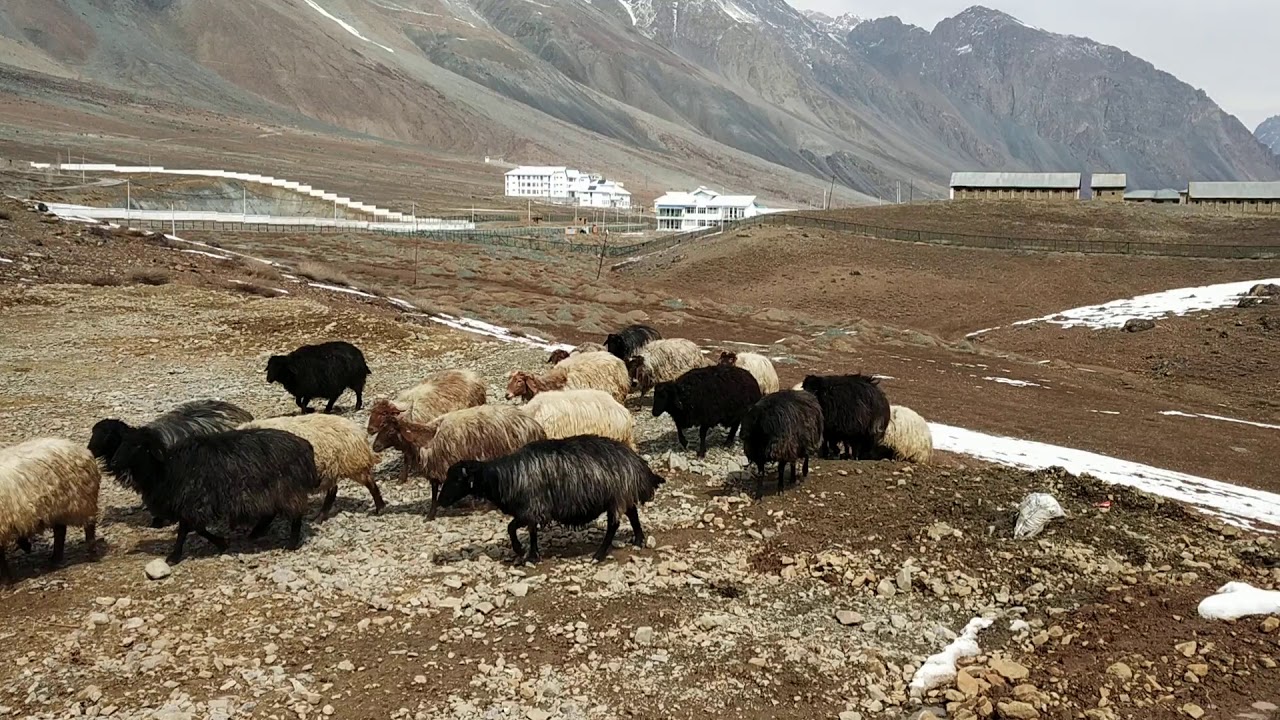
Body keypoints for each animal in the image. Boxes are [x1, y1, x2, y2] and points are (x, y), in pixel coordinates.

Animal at [1, 438, 101, 580]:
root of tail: (84, 451)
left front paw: (6, 581)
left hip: (81, 501)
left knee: (88, 526)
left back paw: (91, 553)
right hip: (58, 508)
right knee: (60, 530)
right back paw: (55, 558)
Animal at [110, 427, 320, 564]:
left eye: (138, 446)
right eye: (122, 442)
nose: (113, 463)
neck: (167, 469)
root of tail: (306, 446)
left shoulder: (194, 502)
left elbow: (190, 529)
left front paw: (175, 556)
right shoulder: (192, 504)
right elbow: (193, 529)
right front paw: (220, 543)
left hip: (286, 488)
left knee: (295, 514)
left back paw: (291, 543)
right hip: (270, 491)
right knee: (271, 512)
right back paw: (256, 532)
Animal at [240, 414, 384, 519]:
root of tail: (360, 434)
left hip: (350, 464)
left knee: (369, 484)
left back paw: (380, 508)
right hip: (332, 468)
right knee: (333, 490)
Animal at [370, 404, 546, 520]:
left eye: (390, 431)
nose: (375, 446)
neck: (427, 439)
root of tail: (535, 426)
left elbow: (435, 493)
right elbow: (435, 493)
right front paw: (432, 514)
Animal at [439, 435, 665, 564]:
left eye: (457, 479)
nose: (441, 501)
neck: (505, 476)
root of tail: (638, 464)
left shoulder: (532, 508)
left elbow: (514, 528)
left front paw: (523, 552)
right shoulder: (532, 511)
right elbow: (527, 531)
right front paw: (531, 553)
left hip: (616, 495)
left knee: (614, 524)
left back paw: (598, 555)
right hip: (623, 494)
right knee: (632, 512)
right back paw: (638, 540)